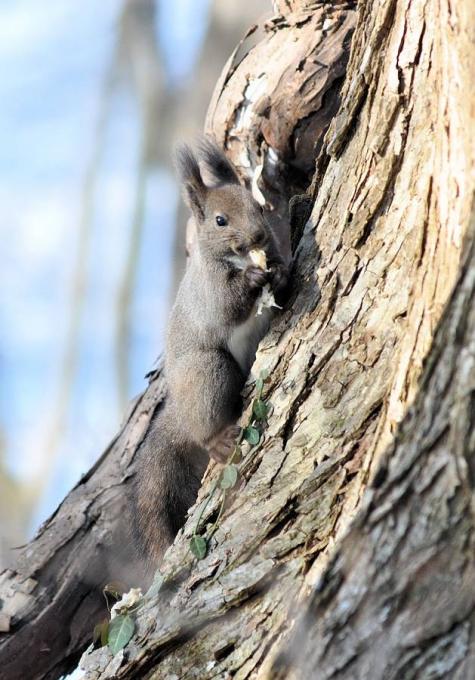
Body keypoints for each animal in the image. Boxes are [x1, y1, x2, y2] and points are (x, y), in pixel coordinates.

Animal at [134, 138, 290, 572]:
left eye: (257, 204)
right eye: (220, 220)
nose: (259, 235)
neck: (233, 259)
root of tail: (179, 412)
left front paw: (279, 271)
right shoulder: (211, 293)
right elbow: (228, 307)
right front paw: (255, 278)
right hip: (209, 371)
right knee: (205, 429)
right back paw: (218, 439)